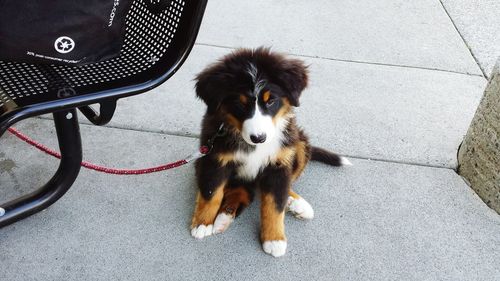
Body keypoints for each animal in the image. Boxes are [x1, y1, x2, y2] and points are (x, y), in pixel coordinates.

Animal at [189, 46, 350, 256]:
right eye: (240, 103)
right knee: (241, 191)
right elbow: (211, 192)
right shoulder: (215, 158)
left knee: (284, 186)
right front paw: (202, 223)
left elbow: (275, 204)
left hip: (298, 145)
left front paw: (274, 239)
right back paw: (224, 218)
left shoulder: (278, 164)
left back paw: (296, 203)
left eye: (271, 100)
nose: (259, 138)